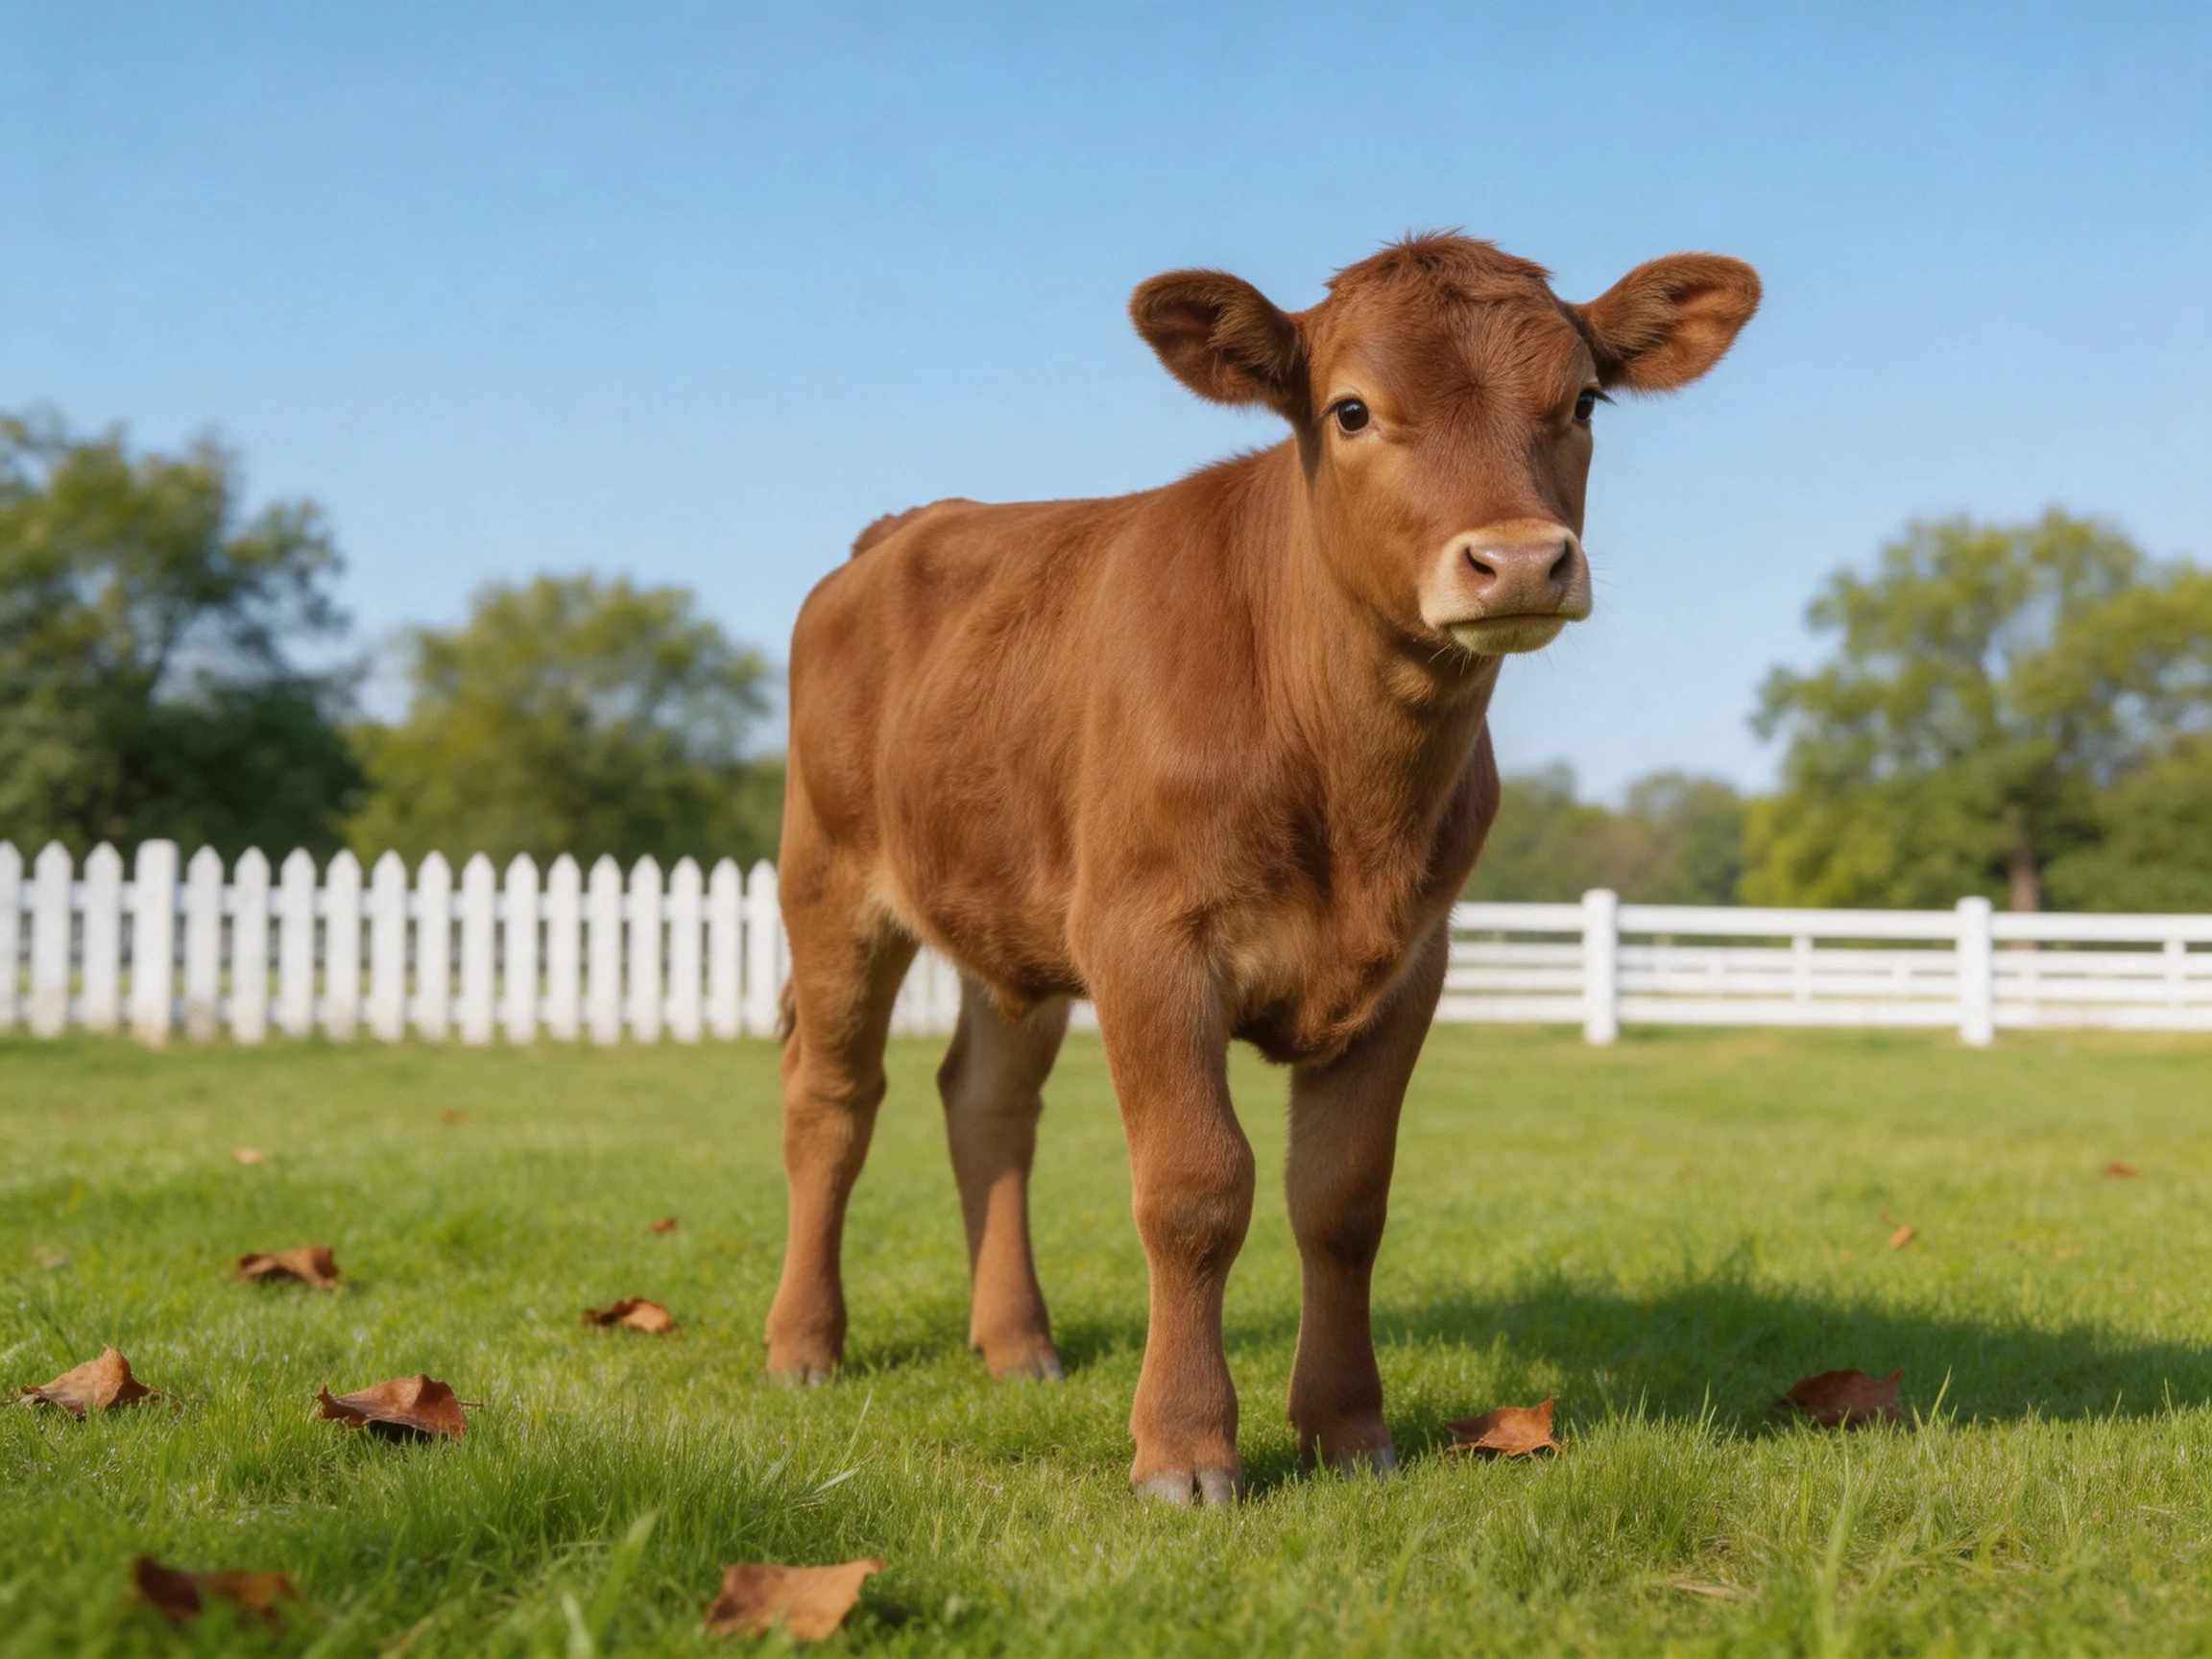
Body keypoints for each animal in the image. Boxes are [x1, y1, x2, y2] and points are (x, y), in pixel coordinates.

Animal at [765, 233, 1758, 1504]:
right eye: (1351, 409)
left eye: (1583, 401)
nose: (1522, 561)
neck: (1349, 781)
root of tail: (908, 525)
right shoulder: (1146, 942)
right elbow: (1196, 1190)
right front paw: (1186, 1448)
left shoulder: (1410, 962)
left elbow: (1342, 1199)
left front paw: (1347, 1428)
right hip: (830, 882)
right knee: (832, 1102)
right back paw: (805, 1345)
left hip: (1012, 920)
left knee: (987, 1105)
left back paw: (1018, 1344)